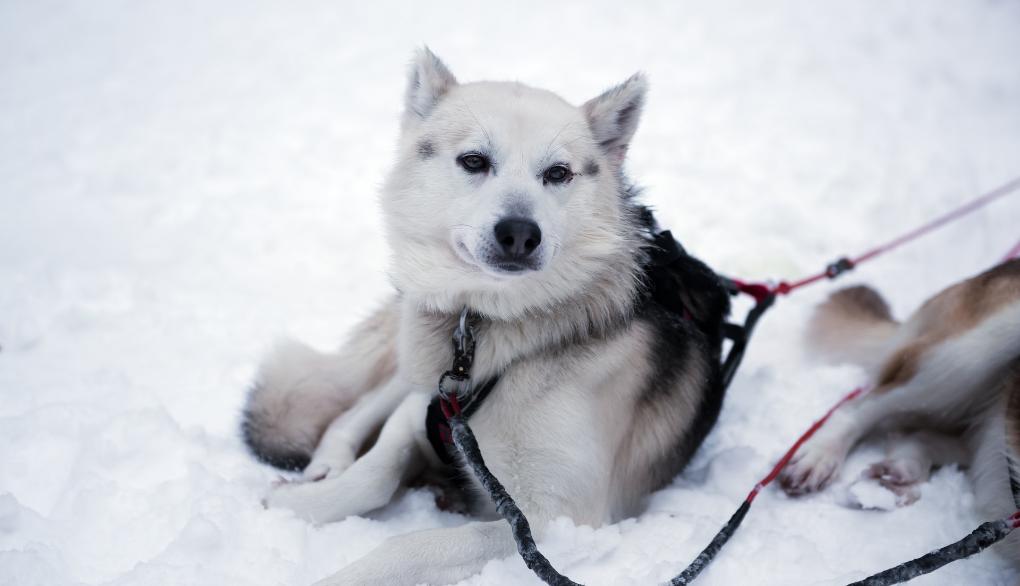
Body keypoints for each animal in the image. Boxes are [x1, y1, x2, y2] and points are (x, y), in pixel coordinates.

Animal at [240, 48, 734, 582]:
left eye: (558, 173)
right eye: (474, 161)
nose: (519, 233)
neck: (490, 333)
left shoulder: (555, 523)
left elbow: (410, 544)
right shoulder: (425, 410)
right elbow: (373, 474)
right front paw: (297, 506)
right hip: (413, 362)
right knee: (358, 407)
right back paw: (326, 465)